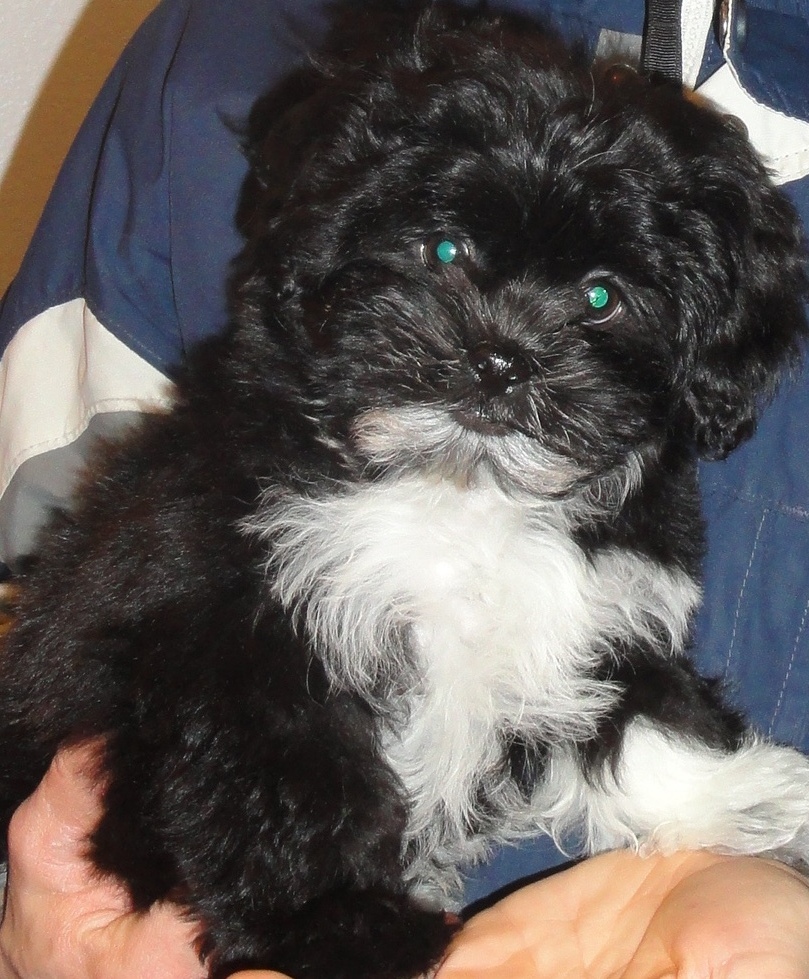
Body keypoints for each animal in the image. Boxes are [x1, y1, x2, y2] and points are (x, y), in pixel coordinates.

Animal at [1, 1, 808, 979]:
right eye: (444, 247)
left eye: (601, 298)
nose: (497, 359)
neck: (462, 491)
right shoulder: (239, 622)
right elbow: (286, 782)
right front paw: (344, 927)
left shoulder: (600, 609)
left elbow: (644, 716)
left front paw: (750, 795)